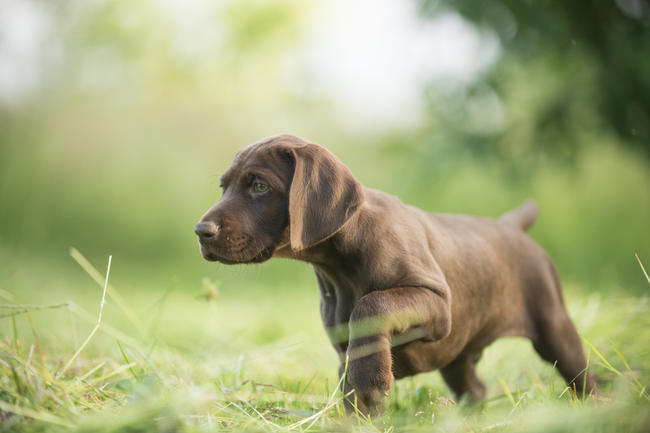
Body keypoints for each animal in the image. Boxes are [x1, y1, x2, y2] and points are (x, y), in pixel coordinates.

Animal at [195, 133, 596, 414]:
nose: (201, 231)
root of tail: (510, 225)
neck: (337, 267)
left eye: (259, 186)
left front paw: (371, 382)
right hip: (457, 355)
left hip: (553, 326)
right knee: (475, 388)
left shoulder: (436, 303)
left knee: (583, 378)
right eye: (224, 187)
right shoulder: (345, 346)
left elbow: (372, 305)